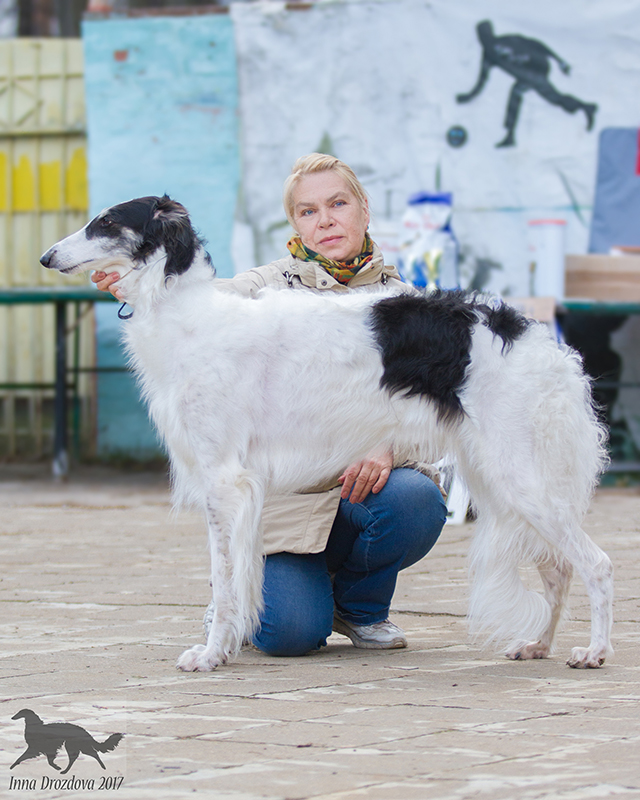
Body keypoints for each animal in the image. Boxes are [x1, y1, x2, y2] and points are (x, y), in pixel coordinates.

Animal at [41, 195, 613, 671]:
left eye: (105, 222)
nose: (46, 257)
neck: (191, 314)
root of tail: (540, 341)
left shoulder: (225, 480)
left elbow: (225, 581)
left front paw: (209, 655)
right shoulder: (237, 489)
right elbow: (240, 577)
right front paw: (227, 646)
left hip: (519, 476)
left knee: (597, 563)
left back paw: (595, 651)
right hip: (503, 481)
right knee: (559, 571)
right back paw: (538, 644)